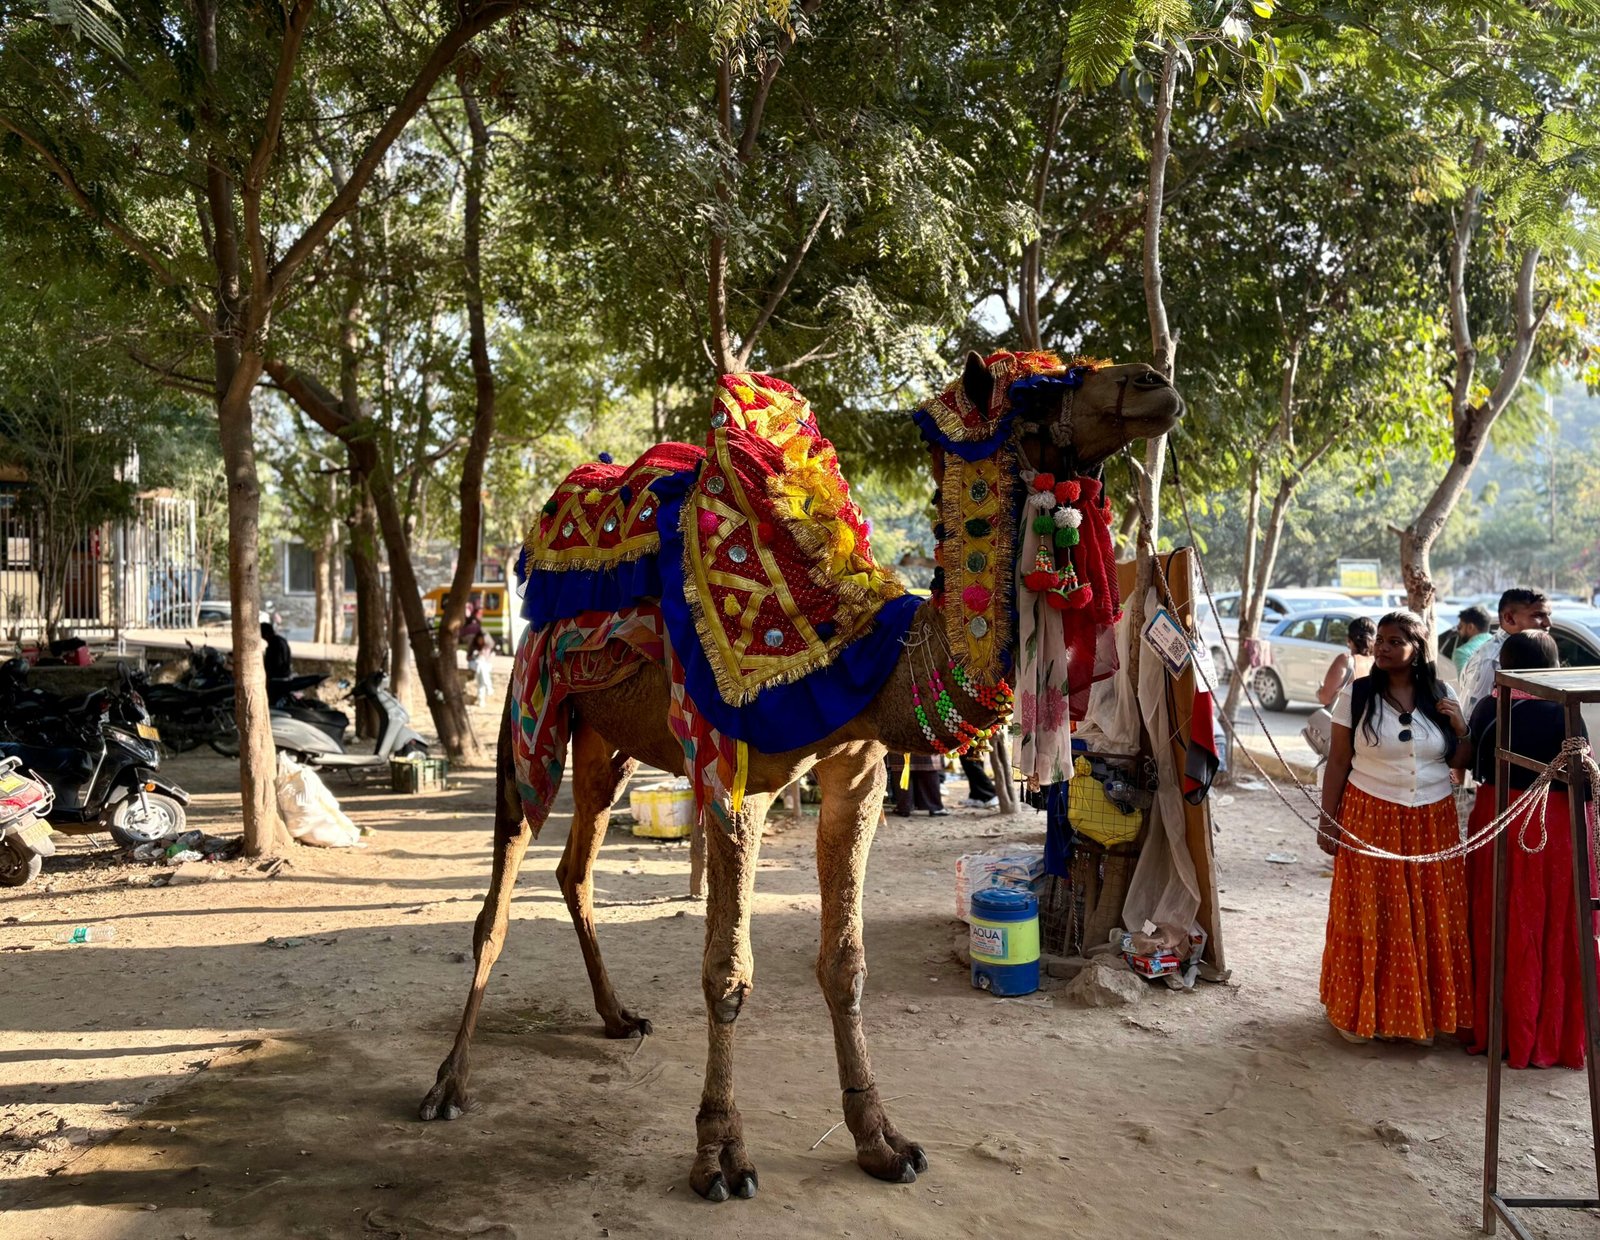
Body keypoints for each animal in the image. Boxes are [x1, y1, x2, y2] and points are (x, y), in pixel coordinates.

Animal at [419, 351, 1183, 1201]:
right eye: (1044, 390)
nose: (1156, 384)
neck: (869, 652)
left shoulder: (859, 777)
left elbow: (846, 963)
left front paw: (882, 1140)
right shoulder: (731, 781)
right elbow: (727, 970)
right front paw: (720, 1155)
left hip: (604, 742)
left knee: (573, 866)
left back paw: (617, 1018)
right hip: (531, 708)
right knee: (502, 887)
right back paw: (448, 1084)